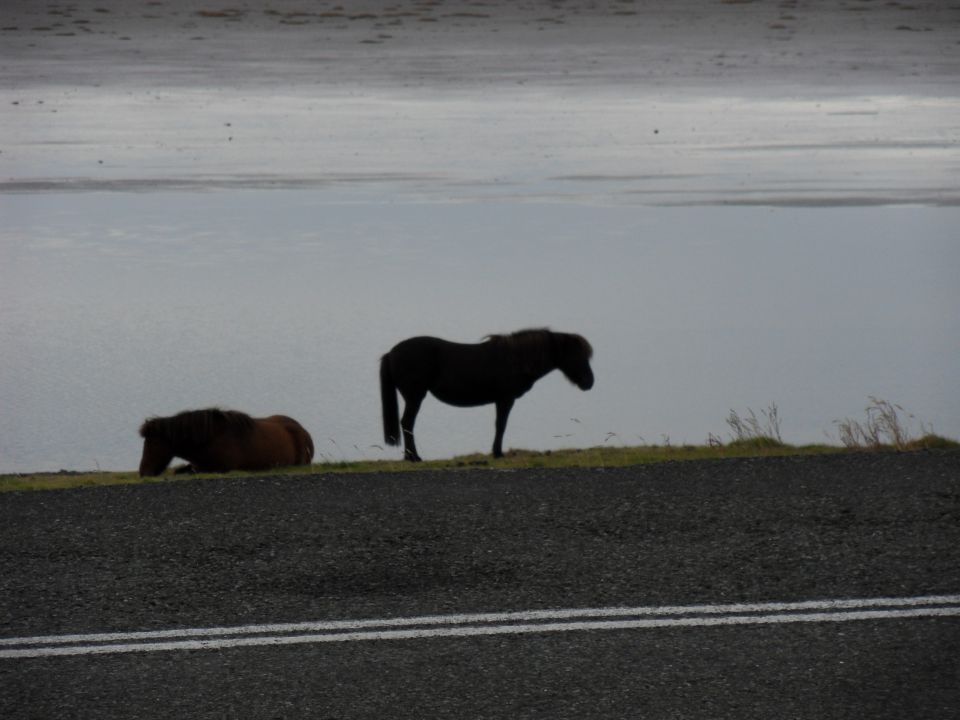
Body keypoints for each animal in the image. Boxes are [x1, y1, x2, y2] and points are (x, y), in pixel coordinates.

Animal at [376, 328, 588, 462]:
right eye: (577, 354)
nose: (589, 382)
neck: (516, 358)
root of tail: (391, 353)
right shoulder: (505, 399)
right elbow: (500, 425)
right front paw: (497, 453)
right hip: (414, 396)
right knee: (407, 423)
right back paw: (414, 458)